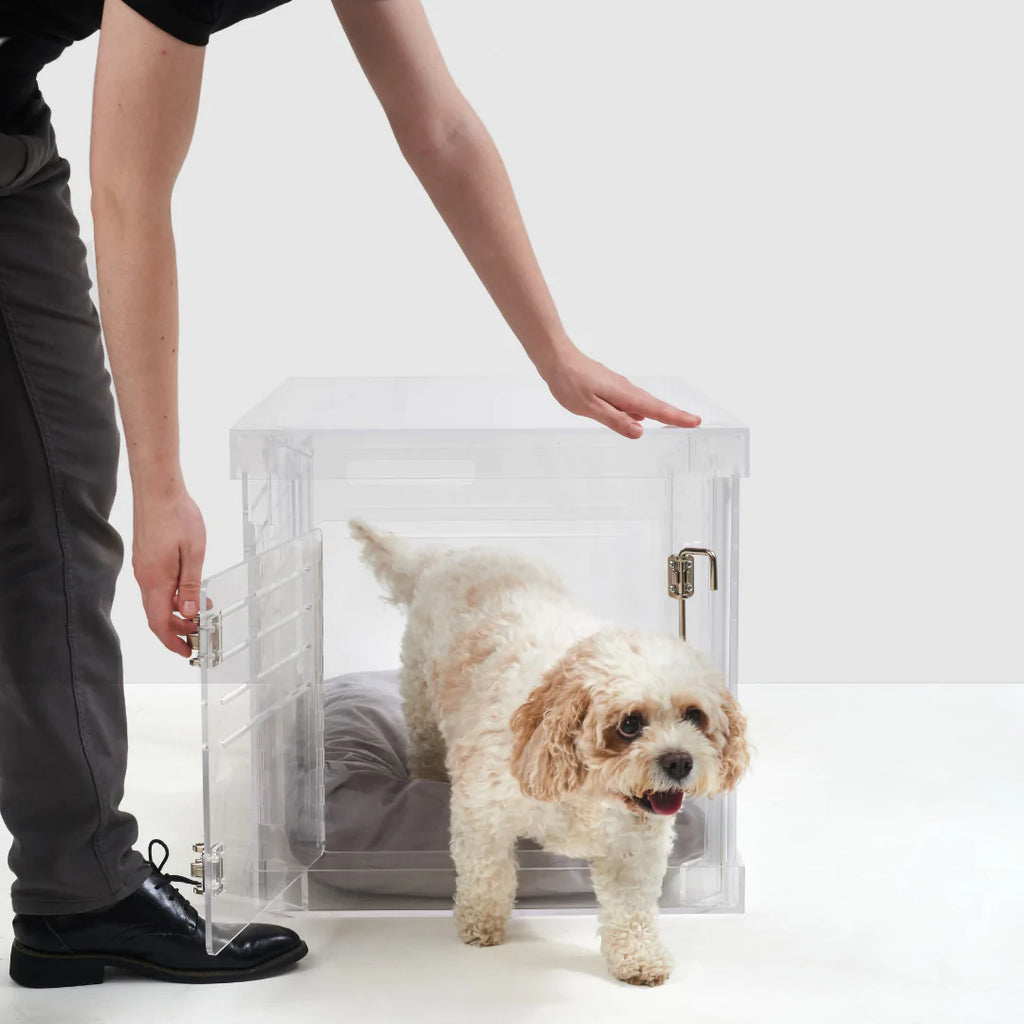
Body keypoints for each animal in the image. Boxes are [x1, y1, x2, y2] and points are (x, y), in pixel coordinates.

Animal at [348, 520, 749, 983]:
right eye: (630, 724)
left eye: (694, 716)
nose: (680, 762)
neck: (589, 790)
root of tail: (450, 555)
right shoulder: (482, 812)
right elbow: (487, 875)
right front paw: (480, 926)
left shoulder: (636, 845)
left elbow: (632, 908)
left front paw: (639, 957)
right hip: (421, 695)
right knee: (423, 742)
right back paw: (427, 775)